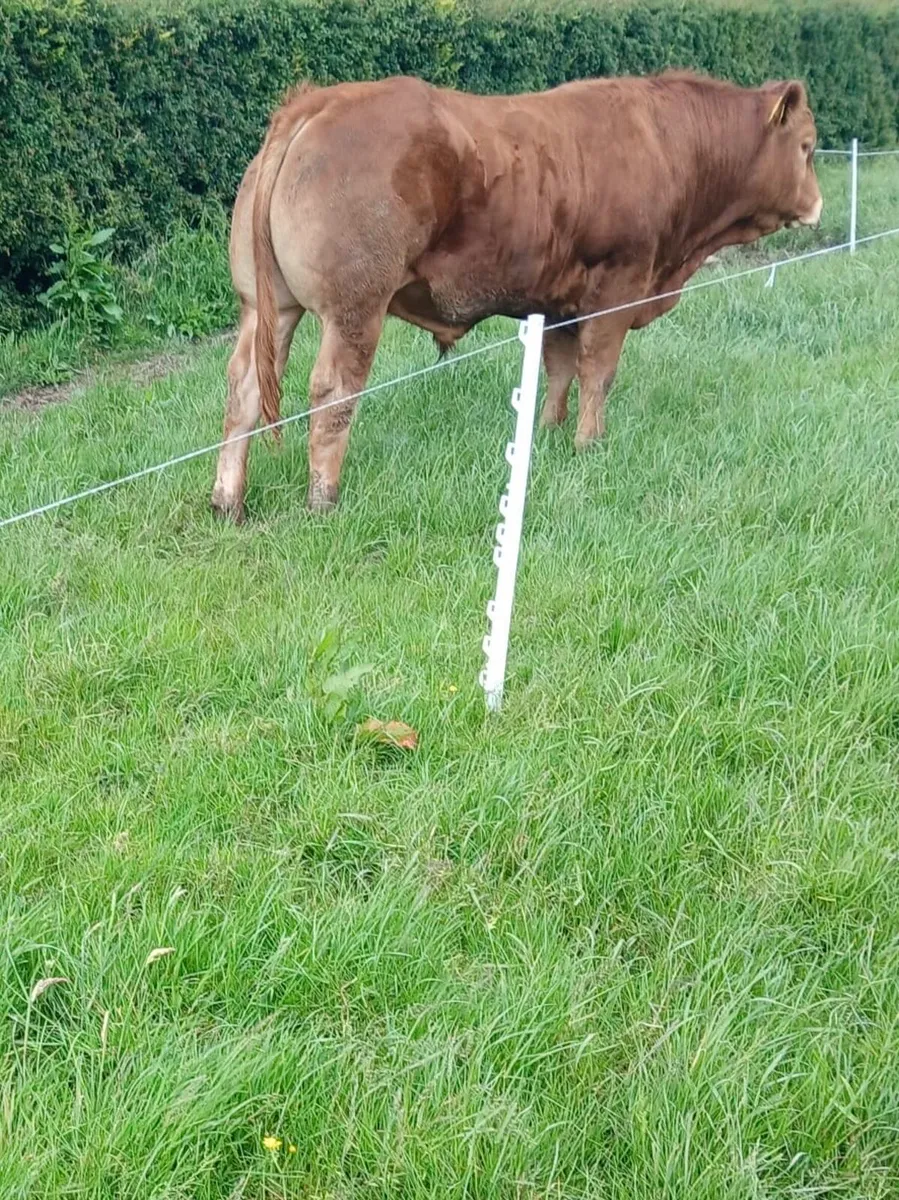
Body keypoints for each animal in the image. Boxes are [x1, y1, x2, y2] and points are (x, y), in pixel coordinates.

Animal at [211, 72, 822, 521]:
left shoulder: (559, 301)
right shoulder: (619, 285)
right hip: (354, 309)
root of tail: (320, 100)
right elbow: (598, 371)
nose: (817, 205)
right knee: (333, 394)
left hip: (265, 305)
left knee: (244, 388)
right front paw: (589, 444)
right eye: (808, 147)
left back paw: (227, 501)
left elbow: (559, 367)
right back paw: (323, 500)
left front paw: (547, 431)